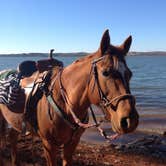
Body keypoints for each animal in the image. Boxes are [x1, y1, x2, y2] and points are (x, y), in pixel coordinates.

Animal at [0, 30, 139, 166]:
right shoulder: (49, 145)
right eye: (106, 72)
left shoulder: (72, 144)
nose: (130, 120)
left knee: (12, 137)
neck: (65, 103)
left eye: (130, 74)